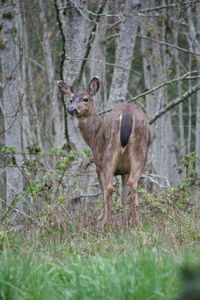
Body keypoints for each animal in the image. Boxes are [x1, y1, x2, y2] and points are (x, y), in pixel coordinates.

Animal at [57, 76, 151, 226]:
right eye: (71, 99)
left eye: (85, 99)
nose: (71, 109)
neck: (93, 136)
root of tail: (127, 115)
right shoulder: (124, 170)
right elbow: (123, 197)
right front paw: (125, 224)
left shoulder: (98, 164)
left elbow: (103, 192)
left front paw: (105, 220)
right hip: (141, 149)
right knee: (133, 183)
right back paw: (138, 223)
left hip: (109, 151)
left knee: (109, 188)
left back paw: (108, 225)